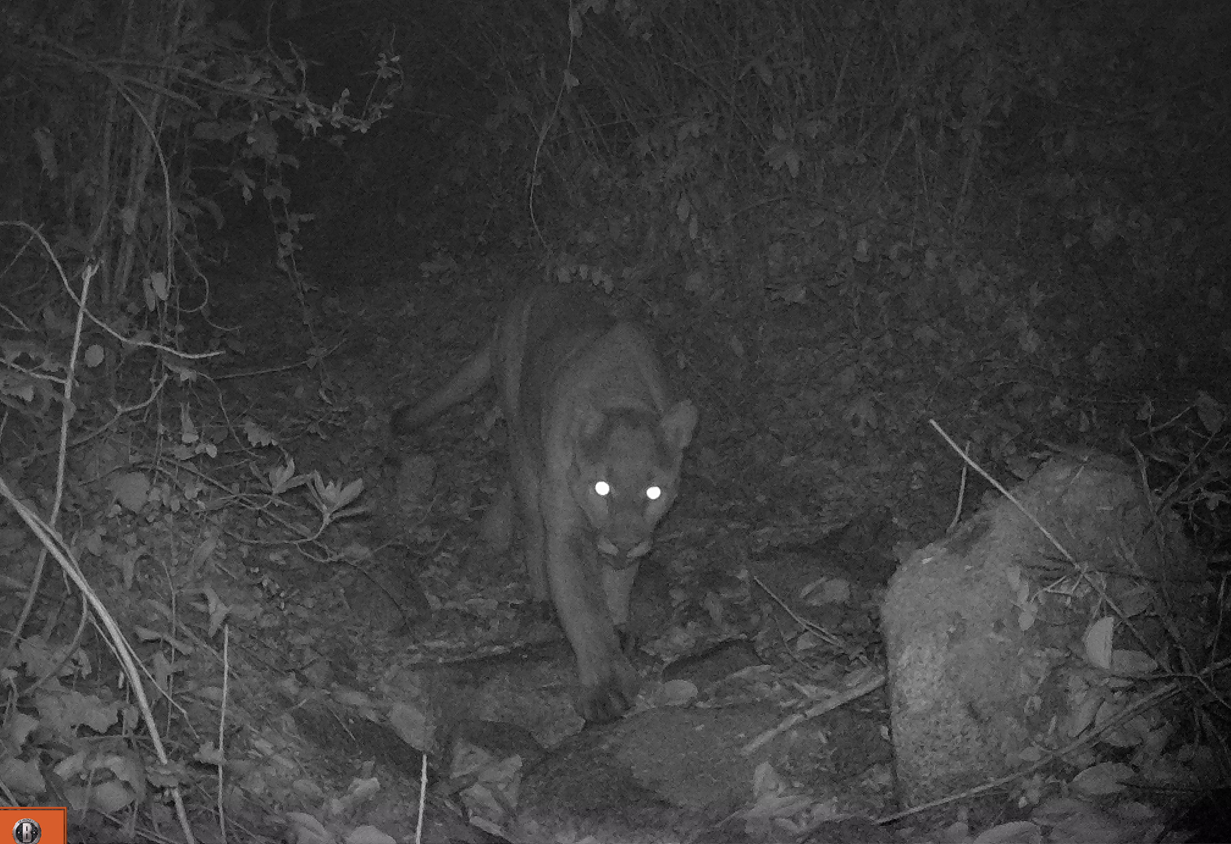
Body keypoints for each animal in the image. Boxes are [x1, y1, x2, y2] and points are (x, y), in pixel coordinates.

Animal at [398, 285, 699, 718]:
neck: (622, 393)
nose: (623, 542)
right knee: (531, 522)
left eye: (653, 492)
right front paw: (604, 688)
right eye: (601, 487)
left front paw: (618, 625)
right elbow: (584, 607)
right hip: (523, 446)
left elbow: (617, 583)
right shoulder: (567, 527)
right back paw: (540, 595)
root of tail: (527, 289)